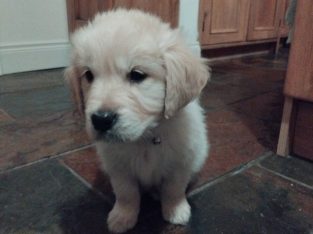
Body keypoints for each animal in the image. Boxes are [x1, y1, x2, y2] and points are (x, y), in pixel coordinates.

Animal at [65, 8, 210, 232]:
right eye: (88, 75)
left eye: (137, 74)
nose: (101, 120)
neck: (144, 137)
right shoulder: (118, 168)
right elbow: (126, 193)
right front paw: (122, 217)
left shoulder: (181, 162)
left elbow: (174, 189)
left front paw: (176, 210)